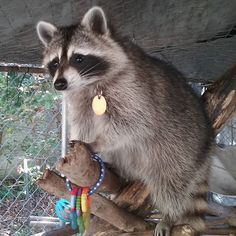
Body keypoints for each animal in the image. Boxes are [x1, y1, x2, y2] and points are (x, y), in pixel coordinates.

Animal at [36, 6, 214, 235]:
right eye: (55, 62)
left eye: (78, 58)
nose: (59, 84)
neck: (89, 84)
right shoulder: (78, 98)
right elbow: (82, 122)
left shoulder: (132, 90)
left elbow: (133, 123)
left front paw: (97, 143)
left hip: (181, 147)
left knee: (170, 180)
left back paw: (169, 215)